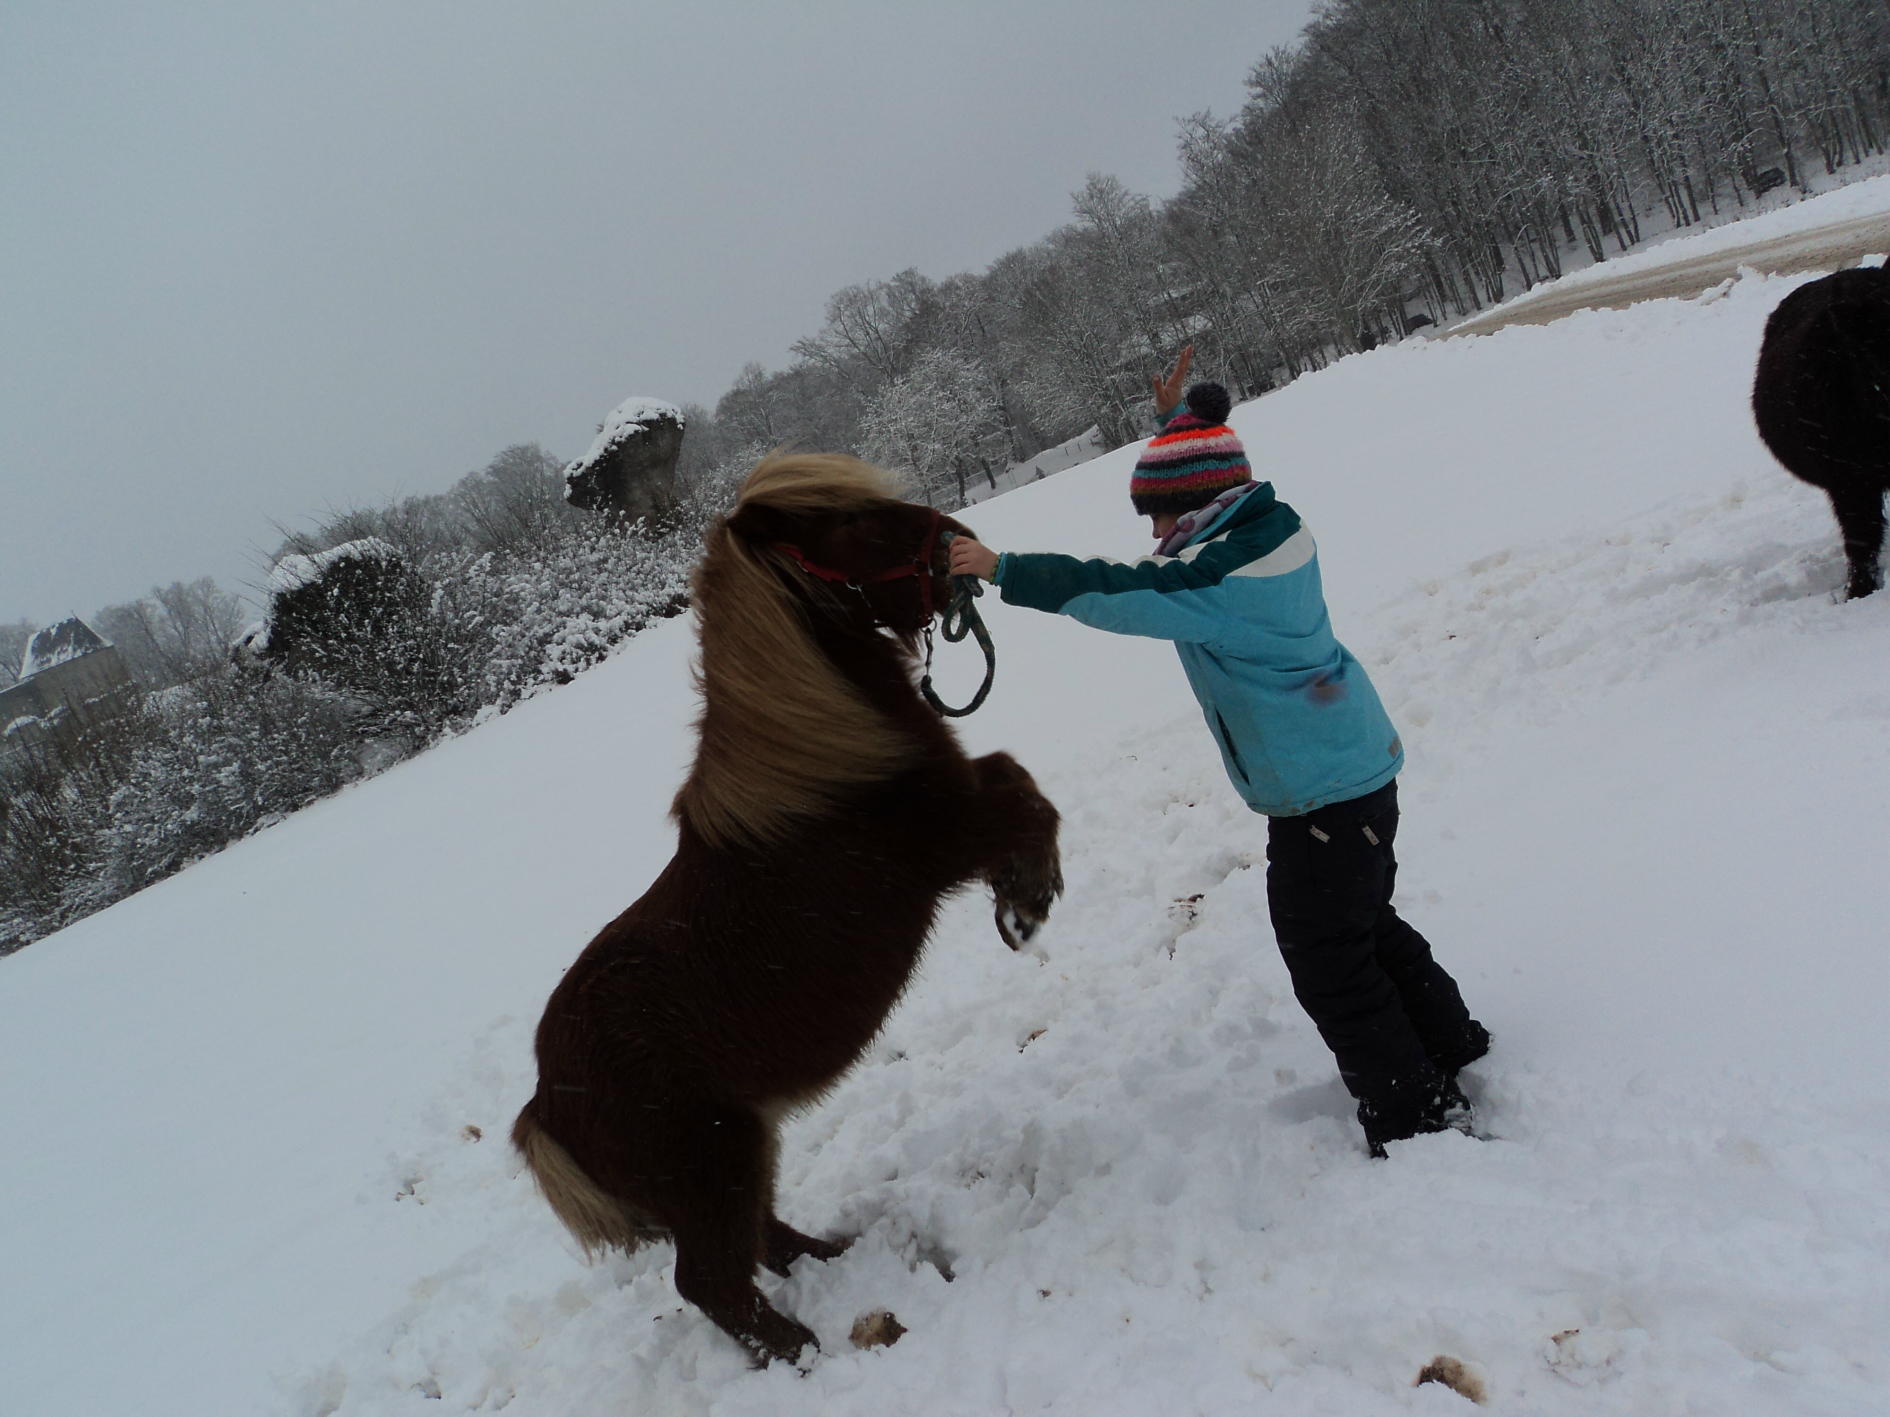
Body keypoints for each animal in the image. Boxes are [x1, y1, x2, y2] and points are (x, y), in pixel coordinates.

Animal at [510, 451, 1065, 1367]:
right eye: (849, 522)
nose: (958, 540)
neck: (814, 776)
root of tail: (544, 1108)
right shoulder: (949, 836)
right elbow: (1026, 799)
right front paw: (1026, 902)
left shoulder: (960, 802)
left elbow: (1014, 772)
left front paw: (1022, 896)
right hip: (716, 1163)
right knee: (710, 1281)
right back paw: (801, 1350)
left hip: (742, 1149)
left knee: (762, 1240)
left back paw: (838, 1254)